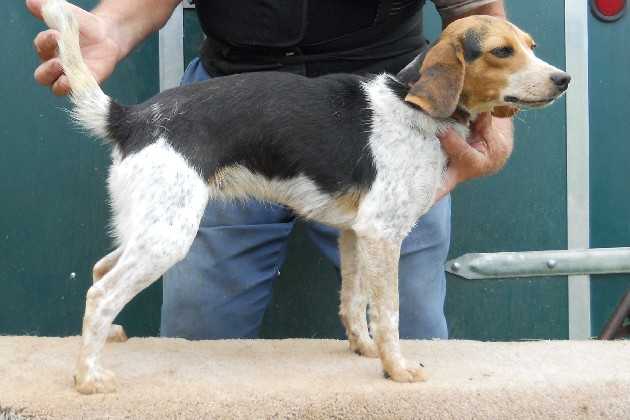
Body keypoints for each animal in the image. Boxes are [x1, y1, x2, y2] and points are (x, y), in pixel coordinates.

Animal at [42, 0, 572, 394]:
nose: (564, 79)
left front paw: (363, 350)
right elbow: (389, 315)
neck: (412, 105)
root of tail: (130, 118)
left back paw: (106, 342)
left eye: (531, 47)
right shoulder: (383, 234)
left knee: (100, 272)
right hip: (167, 236)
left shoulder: (355, 234)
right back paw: (88, 377)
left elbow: (353, 303)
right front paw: (396, 369)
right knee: (100, 293)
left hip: (148, 226)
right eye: (501, 51)